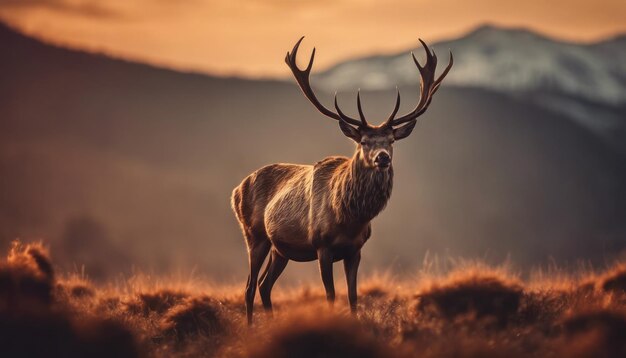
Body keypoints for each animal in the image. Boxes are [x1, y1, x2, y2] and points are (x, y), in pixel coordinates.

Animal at [232, 36, 450, 324]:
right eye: (364, 141)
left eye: (391, 141)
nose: (382, 157)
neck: (350, 218)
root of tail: (236, 189)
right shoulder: (321, 246)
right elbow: (331, 295)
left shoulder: (355, 250)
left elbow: (353, 296)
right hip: (254, 234)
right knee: (248, 286)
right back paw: (249, 327)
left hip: (280, 249)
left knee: (264, 285)